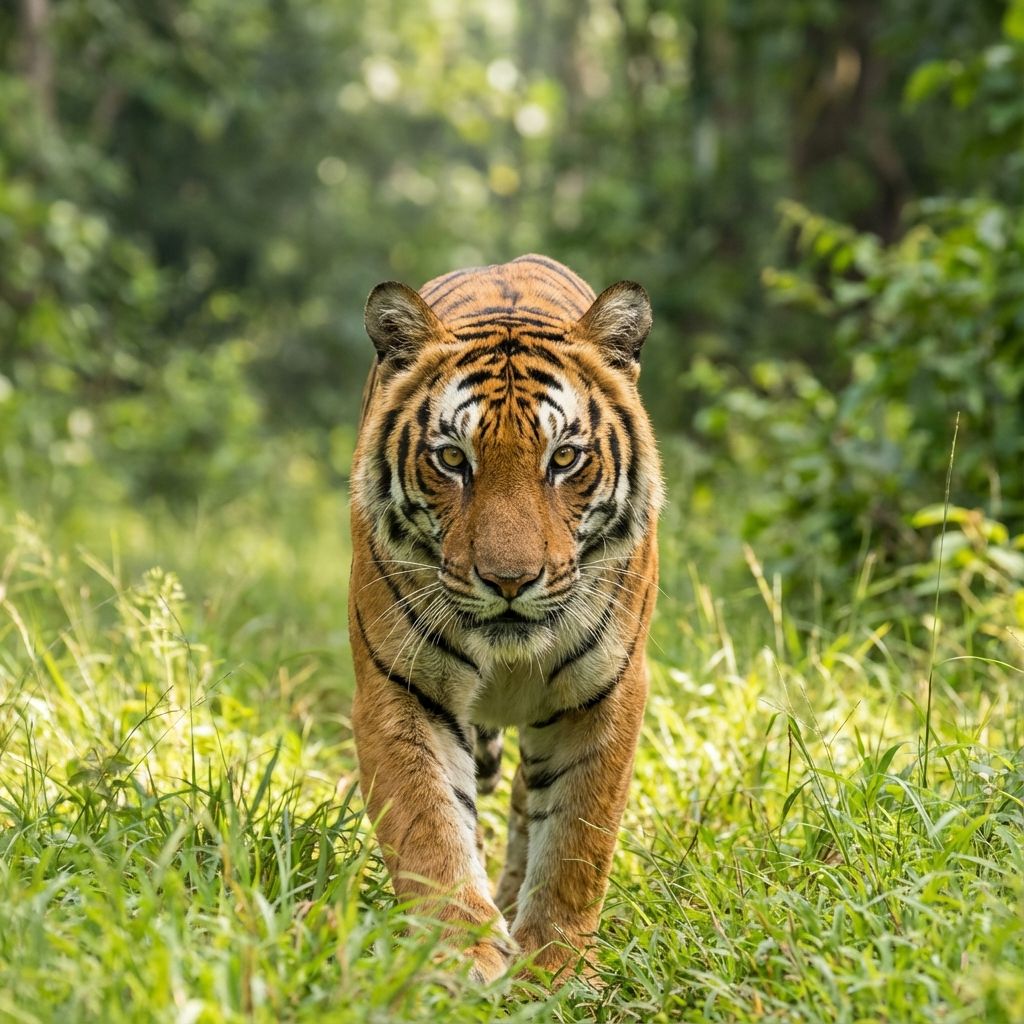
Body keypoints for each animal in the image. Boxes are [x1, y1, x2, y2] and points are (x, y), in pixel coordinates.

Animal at [348, 253, 662, 985]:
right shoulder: (401, 688)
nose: (510, 580)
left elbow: (577, 840)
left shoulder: (605, 695)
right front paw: (461, 956)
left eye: (564, 458)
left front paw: (556, 967)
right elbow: (430, 829)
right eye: (452, 459)